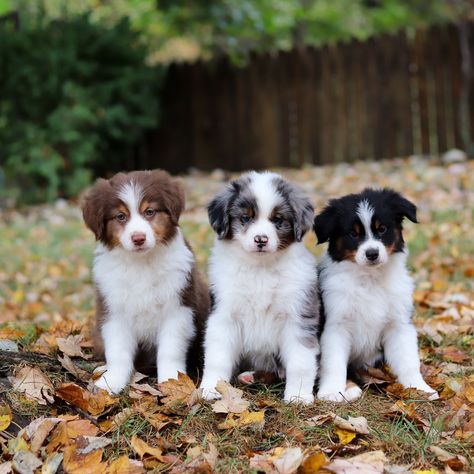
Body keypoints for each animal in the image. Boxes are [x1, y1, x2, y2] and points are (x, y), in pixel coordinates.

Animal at [81, 169, 209, 392]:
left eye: (149, 212)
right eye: (120, 216)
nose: (138, 238)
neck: (141, 264)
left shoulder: (178, 308)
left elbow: (170, 350)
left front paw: (172, 381)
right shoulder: (113, 310)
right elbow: (118, 352)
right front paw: (111, 381)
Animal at [198, 171, 320, 404]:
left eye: (278, 220)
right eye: (245, 218)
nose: (261, 240)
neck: (260, 268)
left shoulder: (297, 316)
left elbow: (300, 361)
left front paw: (298, 396)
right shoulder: (224, 315)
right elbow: (217, 356)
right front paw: (211, 388)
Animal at [312, 189, 438, 404]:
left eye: (382, 229)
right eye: (353, 234)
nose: (372, 253)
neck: (369, 279)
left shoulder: (399, 324)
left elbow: (408, 360)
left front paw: (420, 389)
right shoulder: (335, 326)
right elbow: (333, 362)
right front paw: (331, 391)